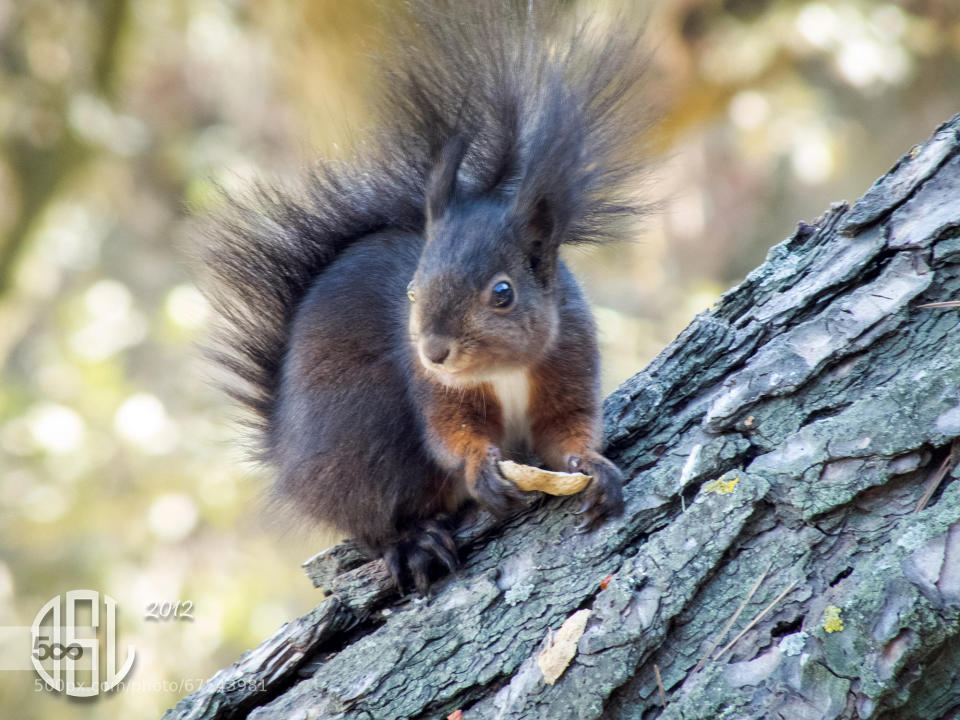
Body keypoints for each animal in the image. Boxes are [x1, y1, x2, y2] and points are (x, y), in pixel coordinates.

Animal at [199, 0, 648, 592]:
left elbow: (567, 427)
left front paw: (592, 467)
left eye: (502, 293)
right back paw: (412, 541)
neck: (503, 371)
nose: (434, 351)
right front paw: (480, 466)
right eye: (411, 289)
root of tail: (286, 456)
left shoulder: (568, 358)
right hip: (361, 440)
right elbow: (450, 433)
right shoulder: (435, 389)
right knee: (370, 521)